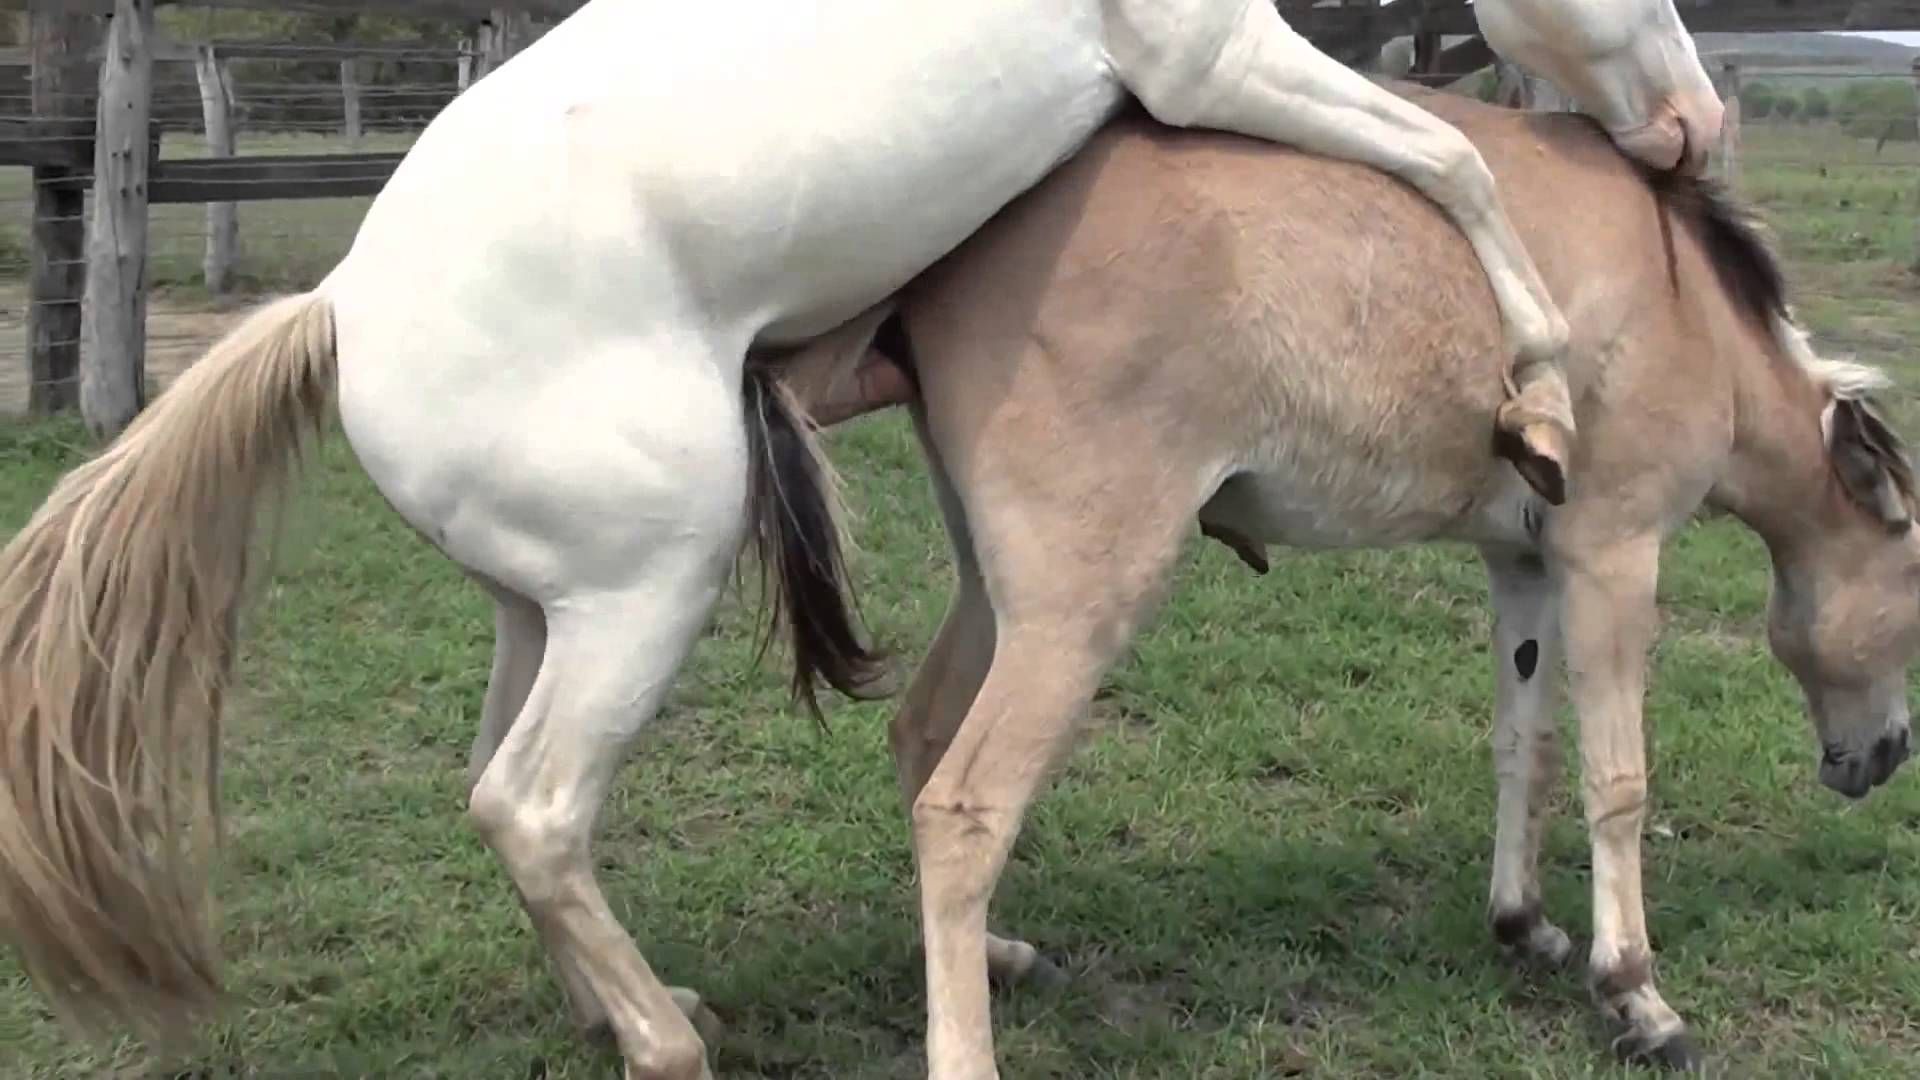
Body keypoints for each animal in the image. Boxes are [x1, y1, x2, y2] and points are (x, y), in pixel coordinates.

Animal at [0, 2, 1712, 1076]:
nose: (1696, 130)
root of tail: (342, 308)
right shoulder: (1210, 52)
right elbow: (1452, 156)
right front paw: (1540, 390)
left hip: (540, 611)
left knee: (497, 792)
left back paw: (622, 1014)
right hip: (650, 592)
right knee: (535, 807)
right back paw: (668, 1044)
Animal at [779, 88, 1920, 1068]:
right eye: (1914, 588)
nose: (1889, 753)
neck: (1681, 298)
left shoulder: (1523, 564)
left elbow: (1527, 747)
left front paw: (1523, 923)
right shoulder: (1613, 556)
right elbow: (1618, 781)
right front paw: (1635, 993)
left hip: (995, 595)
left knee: (921, 735)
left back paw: (994, 957)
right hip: (1076, 611)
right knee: (964, 811)